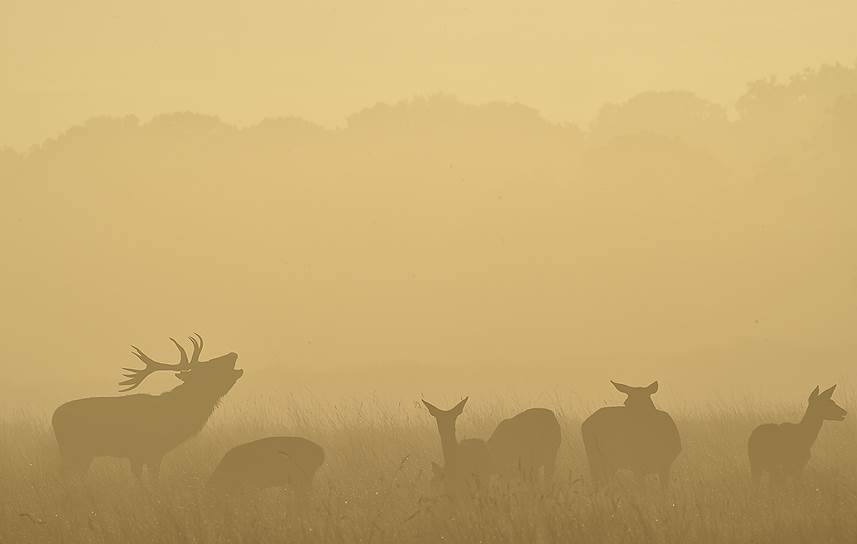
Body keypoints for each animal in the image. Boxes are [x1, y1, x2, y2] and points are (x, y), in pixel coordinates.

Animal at [51, 332, 241, 480]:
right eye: (210, 366)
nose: (233, 354)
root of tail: (54, 418)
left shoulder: (151, 453)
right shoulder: (143, 451)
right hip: (75, 450)